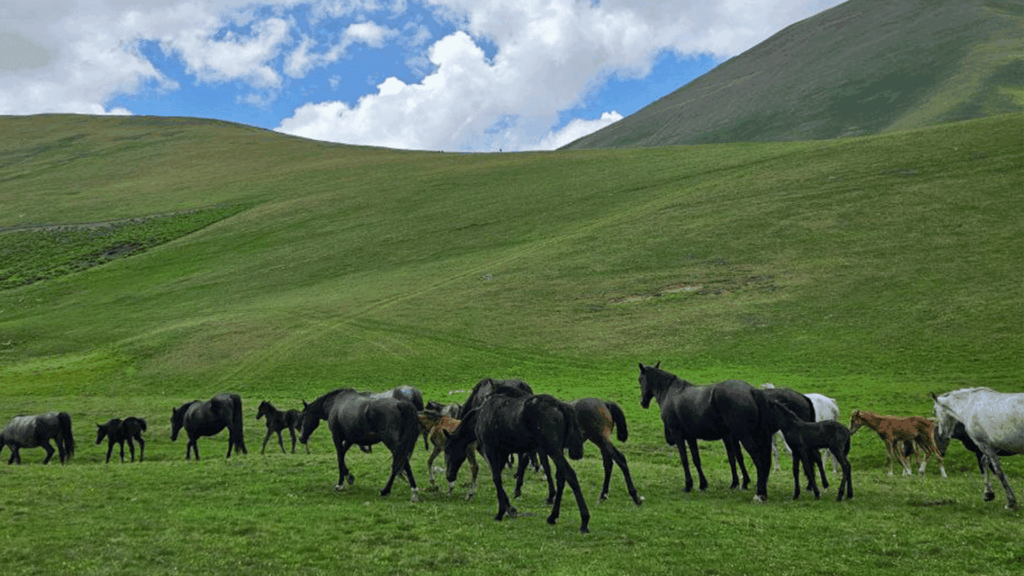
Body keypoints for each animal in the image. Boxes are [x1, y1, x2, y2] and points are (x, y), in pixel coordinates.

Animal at [444, 389, 591, 533]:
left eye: (447, 450)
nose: (449, 476)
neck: (480, 415)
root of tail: (560, 405)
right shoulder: (503, 453)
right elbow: (498, 479)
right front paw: (509, 508)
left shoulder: (491, 450)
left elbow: (496, 478)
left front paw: (501, 512)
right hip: (556, 450)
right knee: (561, 478)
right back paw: (553, 516)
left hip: (553, 450)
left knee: (570, 475)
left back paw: (584, 521)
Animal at [638, 363, 776, 502]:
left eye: (640, 380)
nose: (643, 402)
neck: (672, 392)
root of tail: (751, 391)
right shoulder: (691, 437)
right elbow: (696, 459)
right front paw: (702, 484)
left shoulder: (678, 436)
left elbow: (684, 459)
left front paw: (688, 485)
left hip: (745, 437)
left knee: (758, 459)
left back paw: (760, 492)